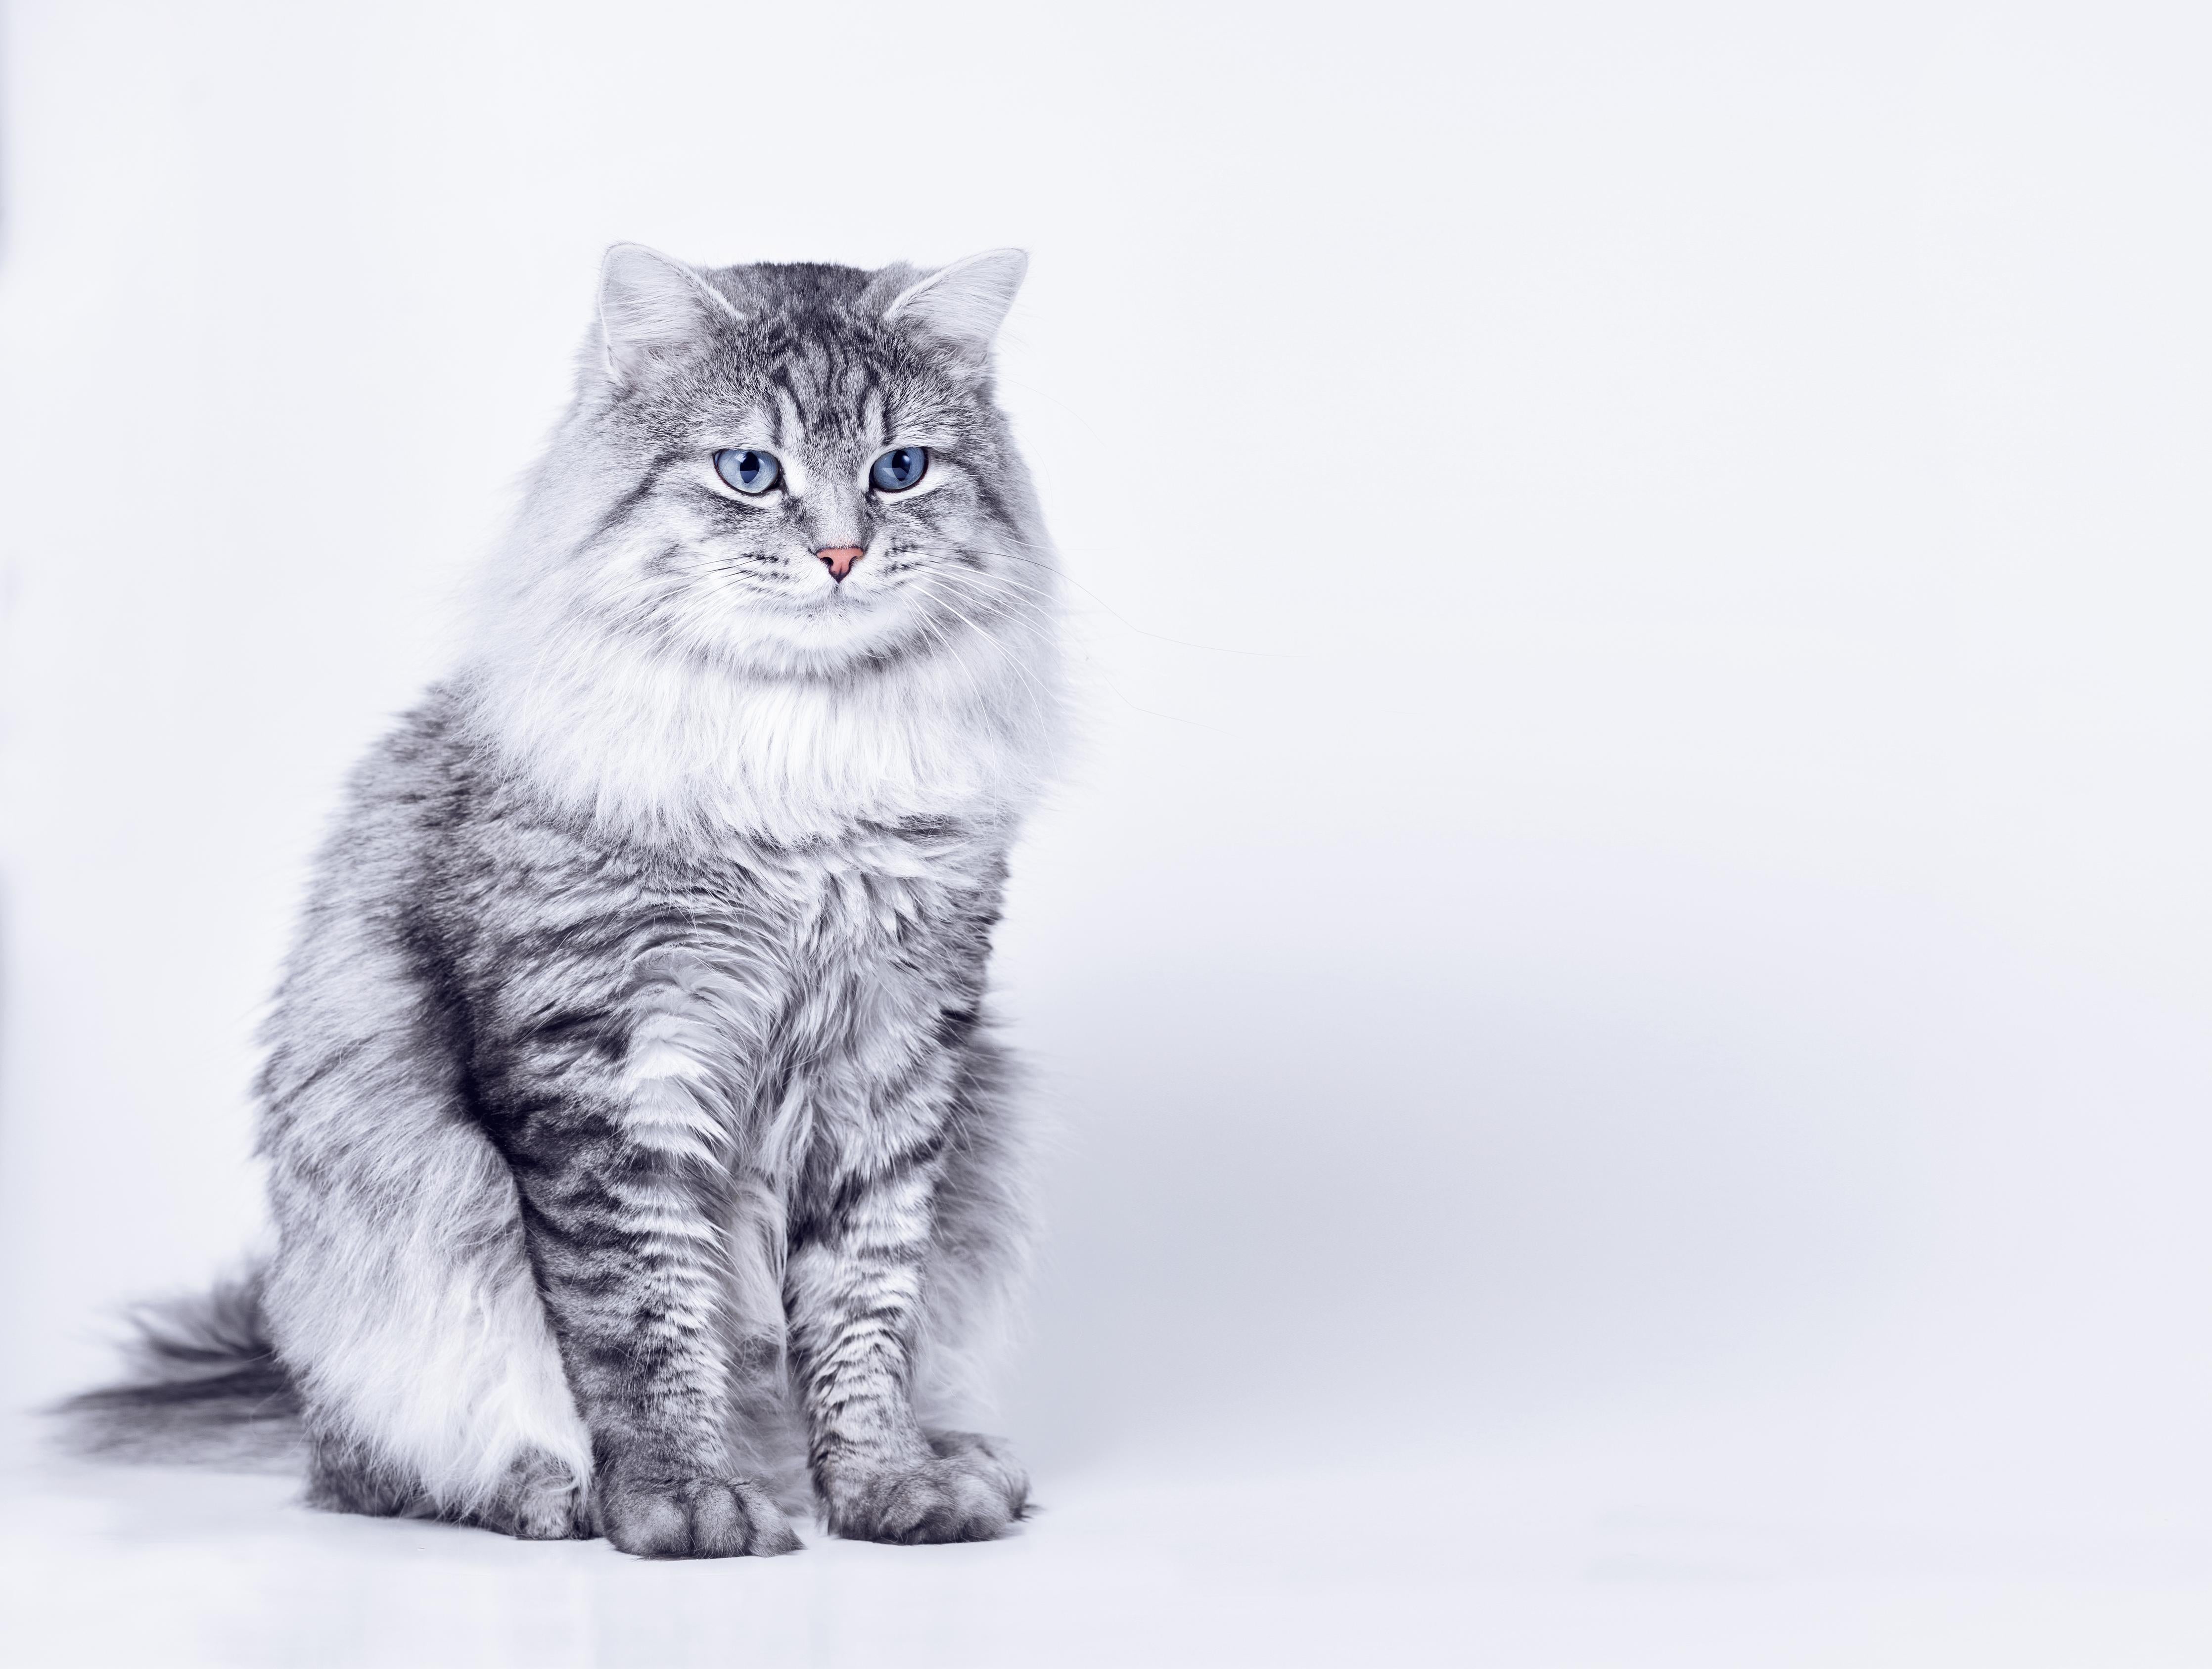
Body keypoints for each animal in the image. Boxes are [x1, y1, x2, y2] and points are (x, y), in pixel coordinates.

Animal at [64, 242, 1066, 1556]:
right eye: (750, 471)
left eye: (900, 470)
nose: (843, 554)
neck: (802, 768)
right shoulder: (610, 1067)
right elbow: (644, 1325)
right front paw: (683, 1502)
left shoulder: (893, 1061)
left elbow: (865, 1317)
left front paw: (888, 1484)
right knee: (385, 1469)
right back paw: (554, 1494)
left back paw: (926, 1459)